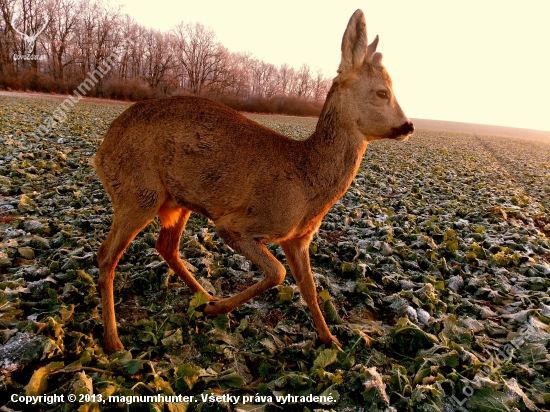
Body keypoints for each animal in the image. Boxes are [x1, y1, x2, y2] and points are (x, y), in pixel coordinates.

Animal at [94, 8, 414, 352]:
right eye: (382, 92)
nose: (408, 126)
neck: (307, 181)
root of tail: (101, 151)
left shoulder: (298, 239)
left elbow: (310, 290)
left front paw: (332, 342)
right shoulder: (238, 223)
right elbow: (278, 273)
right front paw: (221, 310)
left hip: (176, 202)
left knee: (165, 247)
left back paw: (204, 297)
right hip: (137, 193)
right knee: (106, 257)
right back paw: (114, 342)